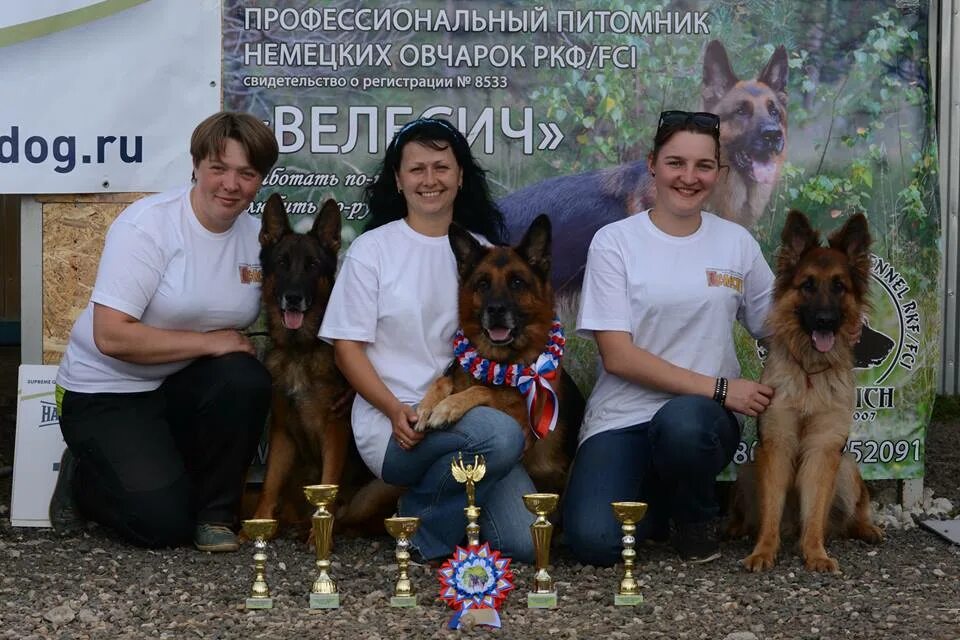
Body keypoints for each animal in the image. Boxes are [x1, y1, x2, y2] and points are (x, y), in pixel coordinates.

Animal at [414, 216, 580, 496]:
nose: (496, 310)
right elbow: (444, 380)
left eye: (517, 283)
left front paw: (448, 407)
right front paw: (428, 406)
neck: (500, 360)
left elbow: (486, 391)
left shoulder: (523, 420)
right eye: (483, 284)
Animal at [736, 211, 884, 576]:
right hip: (749, 468)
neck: (808, 375)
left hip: (846, 466)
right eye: (808, 285)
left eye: (839, 286)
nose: (825, 320)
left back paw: (866, 528)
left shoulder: (823, 448)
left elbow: (815, 510)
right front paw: (763, 551)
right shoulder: (776, 444)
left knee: (853, 511)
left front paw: (815, 553)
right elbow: (771, 511)